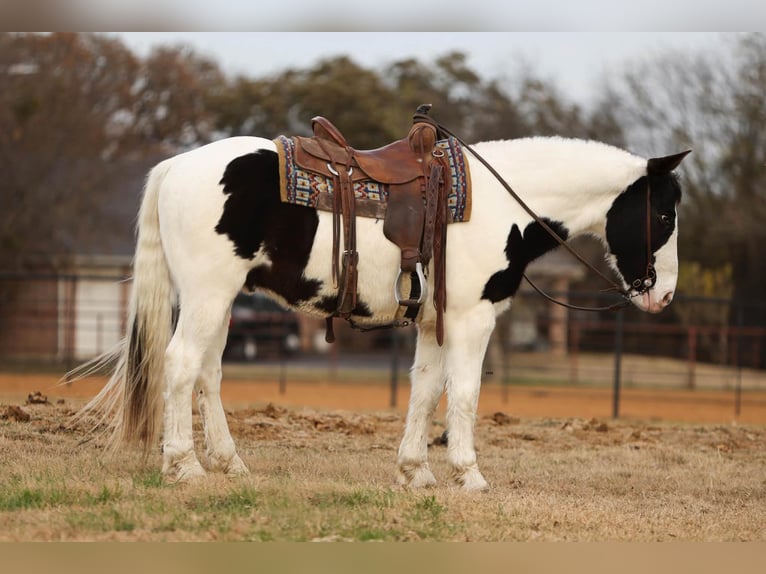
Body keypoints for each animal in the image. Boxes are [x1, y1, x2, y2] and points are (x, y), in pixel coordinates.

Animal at [75, 132, 689, 490]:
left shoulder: (435, 322)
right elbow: (464, 393)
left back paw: (230, 464)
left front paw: (415, 472)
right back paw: (183, 465)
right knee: (180, 366)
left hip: (220, 301)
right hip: (207, 295)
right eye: (664, 215)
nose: (662, 296)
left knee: (208, 374)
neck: (499, 202)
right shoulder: (472, 318)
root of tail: (176, 167)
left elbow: (425, 389)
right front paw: (469, 475)